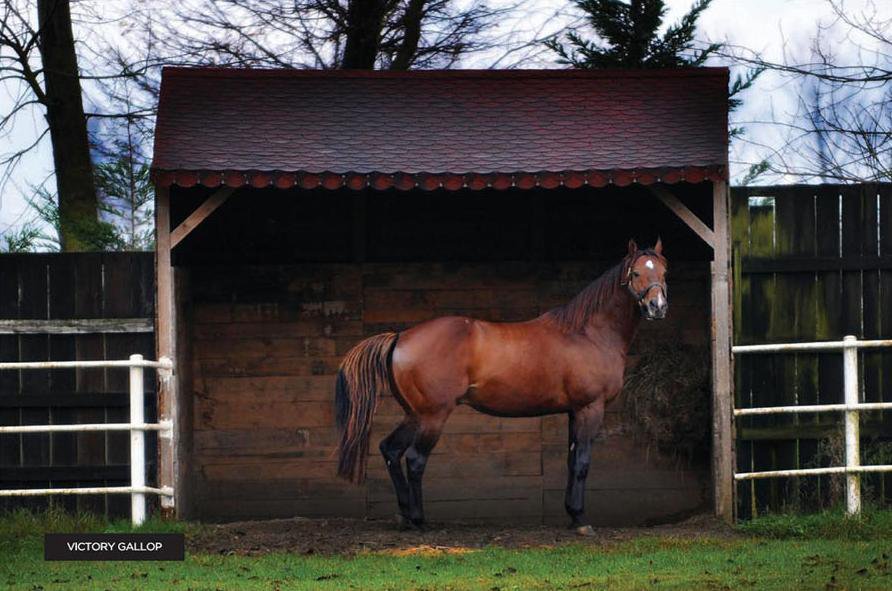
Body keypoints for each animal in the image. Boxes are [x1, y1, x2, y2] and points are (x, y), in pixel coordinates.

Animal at [336, 238, 668, 536]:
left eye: (664, 271)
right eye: (635, 273)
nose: (657, 307)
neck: (587, 333)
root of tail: (401, 337)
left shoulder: (574, 411)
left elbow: (572, 460)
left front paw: (572, 515)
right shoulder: (591, 408)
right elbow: (583, 462)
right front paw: (581, 521)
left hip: (414, 414)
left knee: (390, 450)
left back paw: (405, 516)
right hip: (432, 416)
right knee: (415, 459)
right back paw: (418, 520)